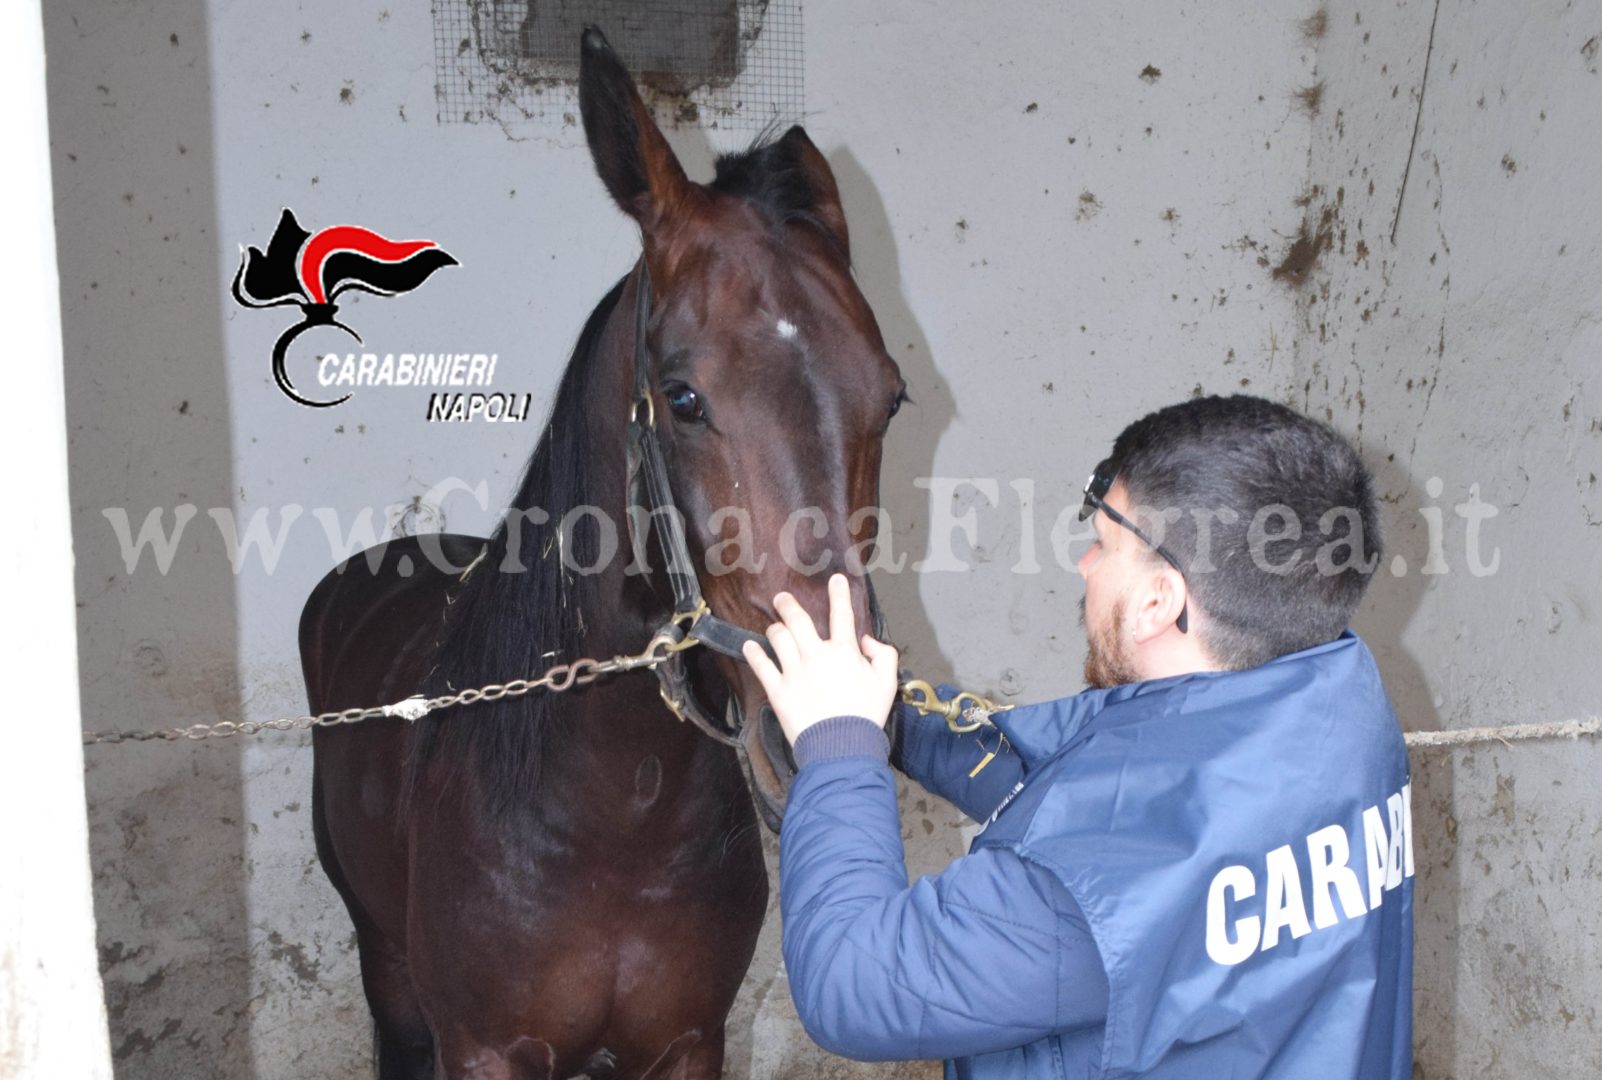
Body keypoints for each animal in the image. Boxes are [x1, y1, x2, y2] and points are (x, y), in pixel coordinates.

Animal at [296, 27, 909, 1076]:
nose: (832, 723)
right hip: (385, 970)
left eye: (894, 396)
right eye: (684, 396)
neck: (618, 808)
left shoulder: (687, 1042)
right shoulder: (482, 1048)